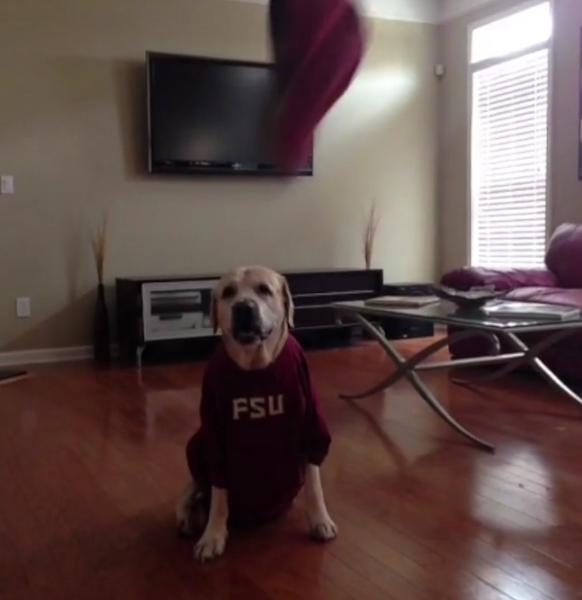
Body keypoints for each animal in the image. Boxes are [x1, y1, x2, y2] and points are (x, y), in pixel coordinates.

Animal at [177, 264, 338, 560]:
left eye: (264, 289)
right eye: (228, 292)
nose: (244, 307)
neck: (255, 363)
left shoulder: (310, 428)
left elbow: (314, 483)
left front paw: (320, 520)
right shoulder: (214, 436)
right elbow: (219, 493)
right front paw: (213, 534)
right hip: (196, 442)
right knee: (195, 487)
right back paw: (188, 514)